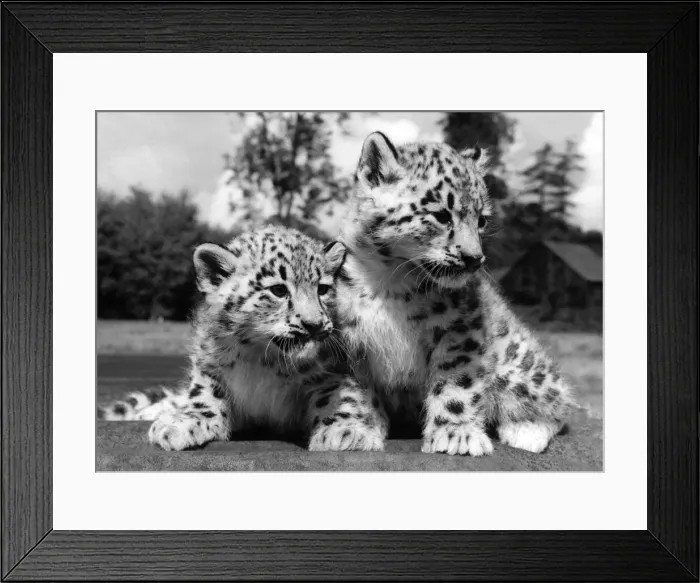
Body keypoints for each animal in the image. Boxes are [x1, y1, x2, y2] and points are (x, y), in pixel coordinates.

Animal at [98, 226, 387, 452]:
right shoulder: (208, 366)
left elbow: (340, 398)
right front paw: (180, 423)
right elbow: (203, 397)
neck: (262, 357)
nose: (314, 325)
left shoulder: (333, 370)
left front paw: (347, 432)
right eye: (278, 290)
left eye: (323, 289)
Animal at [332, 131, 576, 456]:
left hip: (520, 367)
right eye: (441, 215)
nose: (474, 258)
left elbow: (455, 385)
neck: (389, 280)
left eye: (481, 220)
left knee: (558, 399)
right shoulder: (347, 340)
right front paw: (352, 430)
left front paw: (456, 435)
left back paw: (526, 432)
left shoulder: (458, 331)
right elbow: (353, 389)